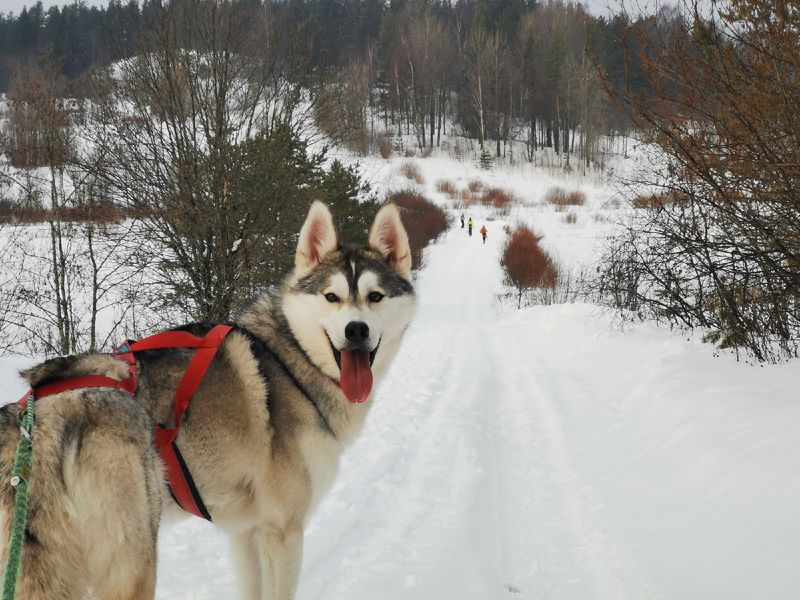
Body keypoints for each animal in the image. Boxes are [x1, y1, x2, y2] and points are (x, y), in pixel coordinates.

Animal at [1, 203, 418, 600]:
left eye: (375, 297)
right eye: (332, 297)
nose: (356, 330)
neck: (292, 360)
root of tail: (42, 424)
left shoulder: (247, 532)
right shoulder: (283, 531)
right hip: (135, 561)